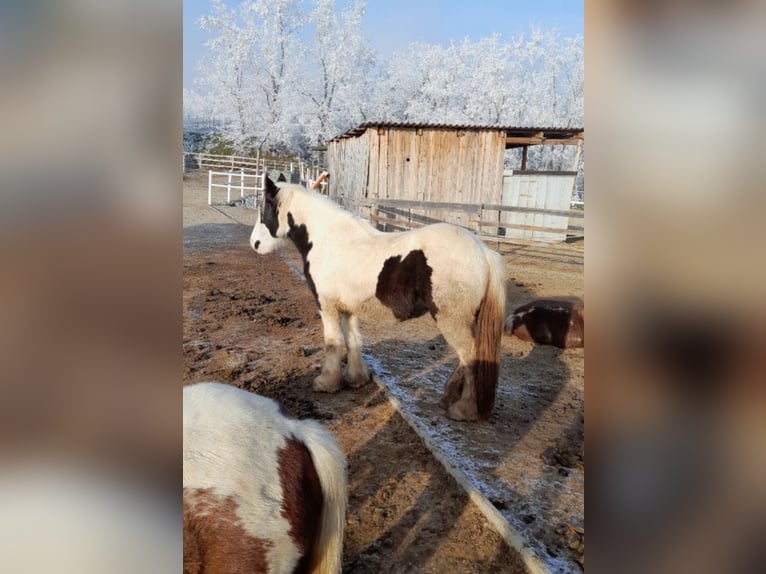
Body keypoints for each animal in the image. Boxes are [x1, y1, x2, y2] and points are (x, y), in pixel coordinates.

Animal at [249, 177, 508, 424]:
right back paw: (448, 397)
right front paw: (356, 379)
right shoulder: (348, 309)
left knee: (471, 357)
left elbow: (333, 343)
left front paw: (327, 383)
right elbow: (353, 340)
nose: (255, 244)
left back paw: (464, 410)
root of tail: (484, 251)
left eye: (264, 211)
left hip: (452, 319)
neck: (327, 239)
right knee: (464, 357)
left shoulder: (327, 307)